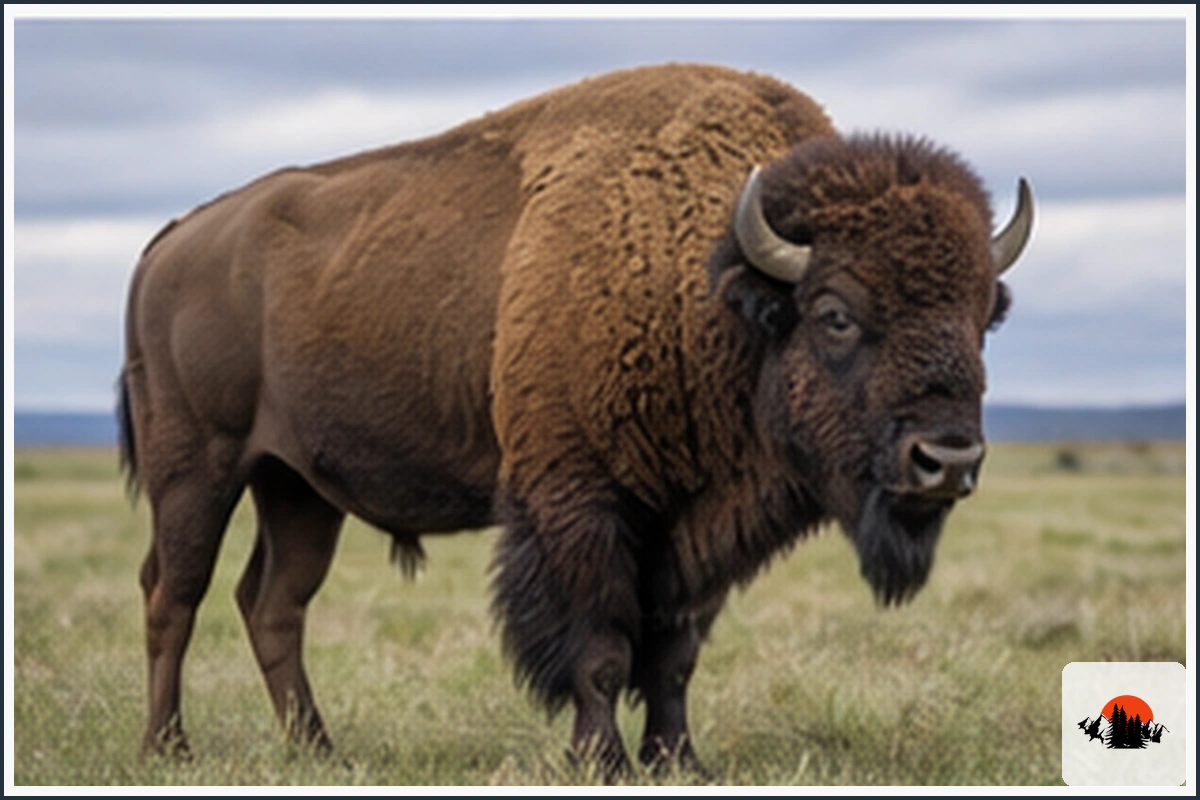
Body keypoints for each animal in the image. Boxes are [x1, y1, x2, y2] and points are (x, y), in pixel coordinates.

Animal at [120, 63, 1032, 777]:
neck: (703, 291)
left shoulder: (690, 531)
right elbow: (599, 648)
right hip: (197, 468)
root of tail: (174, 239)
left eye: (982, 316)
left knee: (274, 602)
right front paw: (603, 761)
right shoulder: (579, 504)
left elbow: (673, 655)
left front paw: (680, 761)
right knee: (175, 592)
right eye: (836, 314)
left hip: (300, 488)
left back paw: (319, 751)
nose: (948, 460)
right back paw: (168, 749)